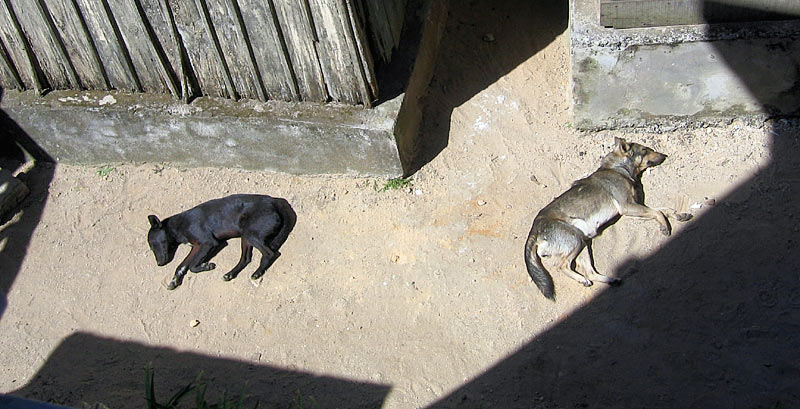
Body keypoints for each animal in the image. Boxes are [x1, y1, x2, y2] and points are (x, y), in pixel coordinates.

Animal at [147, 194, 296, 290]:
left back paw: (257, 272)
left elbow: (192, 266)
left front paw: (206, 265)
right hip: (245, 236)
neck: (178, 225)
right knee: (246, 258)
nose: (159, 264)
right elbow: (182, 265)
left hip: (251, 234)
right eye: (151, 247)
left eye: (154, 243)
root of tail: (273, 202)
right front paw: (175, 280)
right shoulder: (196, 247)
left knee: (270, 253)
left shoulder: (208, 243)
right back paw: (230, 274)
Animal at [524, 137, 691, 300]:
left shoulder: (636, 206)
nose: (665, 155)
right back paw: (583, 280)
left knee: (589, 272)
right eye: (645, 150)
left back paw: (611, 280)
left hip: (583, 243)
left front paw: (679, 215)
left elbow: (663, 209)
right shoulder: (627, 206)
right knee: (561, 266)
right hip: (575, 240)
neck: (616, 168)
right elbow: (658, 212)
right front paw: (665, 226)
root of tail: (535, 229)